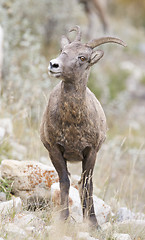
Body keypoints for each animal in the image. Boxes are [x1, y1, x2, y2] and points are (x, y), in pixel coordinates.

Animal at [40, 25, 125, 227]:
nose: (54, 65)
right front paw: (63, 219)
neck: (73, 123)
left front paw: (93, 224)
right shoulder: (55, 150)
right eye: (62, 50)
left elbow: (87, 185)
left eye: (83, 57)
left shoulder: (91, 152)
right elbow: (65, 181)